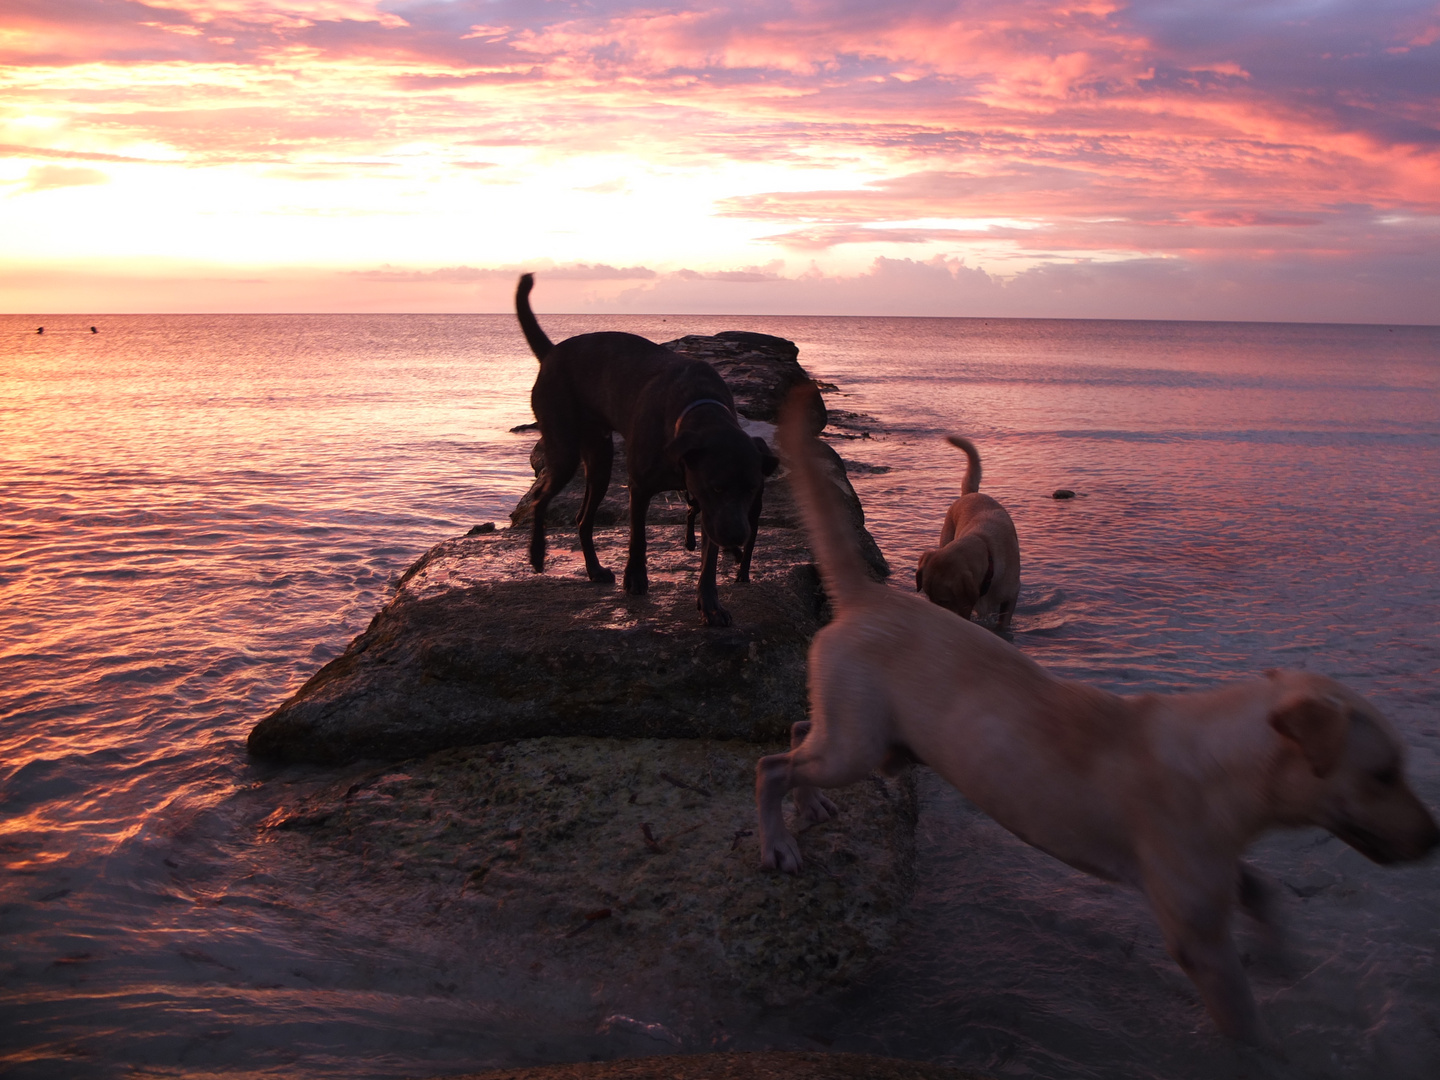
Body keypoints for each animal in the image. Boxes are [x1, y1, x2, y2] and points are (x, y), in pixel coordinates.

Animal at [518, 270, 777, 624]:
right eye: (718, 487)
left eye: (752, 489)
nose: (738, 537)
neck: (696, 405)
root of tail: (552, 352)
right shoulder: (643, 487)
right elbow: (638, 538)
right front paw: (636, 579)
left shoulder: (707, 507)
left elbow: (708, 562)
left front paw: (710, 604)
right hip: (564, 448)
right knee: (541, 498)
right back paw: (537, 553)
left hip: (599, 459)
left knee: (583, 519)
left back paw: (594, 570)